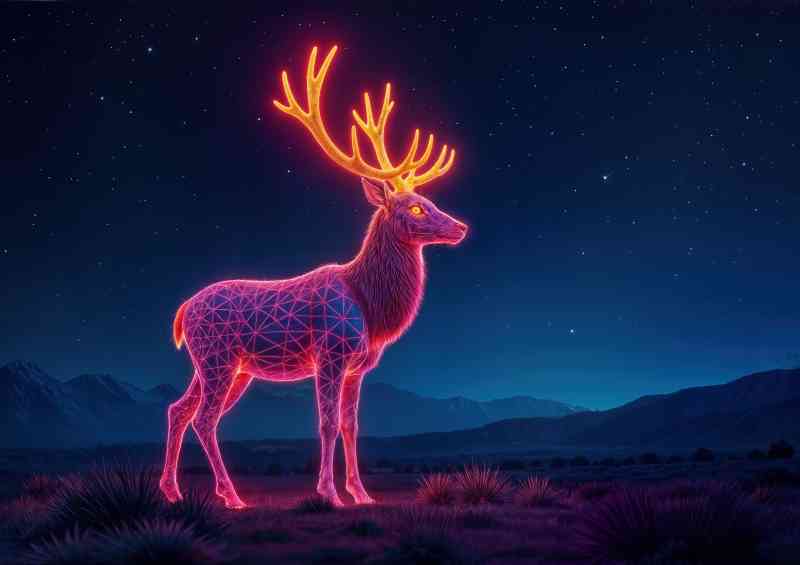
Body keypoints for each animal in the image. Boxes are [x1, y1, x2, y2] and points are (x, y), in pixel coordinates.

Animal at [159, 45, 468, 509]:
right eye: (415, 207)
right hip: (218, 359)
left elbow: (351, 426)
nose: (461, 227)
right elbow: (325, 424)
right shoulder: (330, 354)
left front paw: (362, 493)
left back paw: (172, 490)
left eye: (428, 200)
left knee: (178, 409)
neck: (370, 304)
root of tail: (180, 312)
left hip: (219, 365)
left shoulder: (358, 368)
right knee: (205, 419)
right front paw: (329, 493)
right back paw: (231, 496)